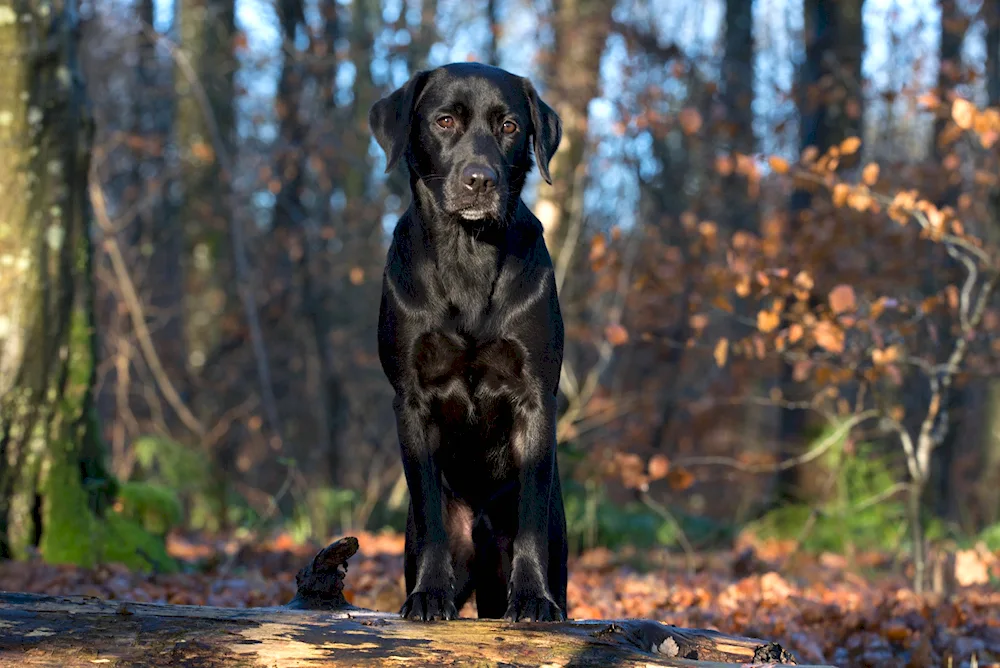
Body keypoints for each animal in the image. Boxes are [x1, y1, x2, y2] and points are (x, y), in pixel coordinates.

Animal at [370, 65, 572, 624]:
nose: (480, 180)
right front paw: (429, 595)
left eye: (509, 126)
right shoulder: (411, 399)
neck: (469, 254)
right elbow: (431, 515)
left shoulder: (535, 396)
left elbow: (530, 514)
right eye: (444, 121)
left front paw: (533, 599)